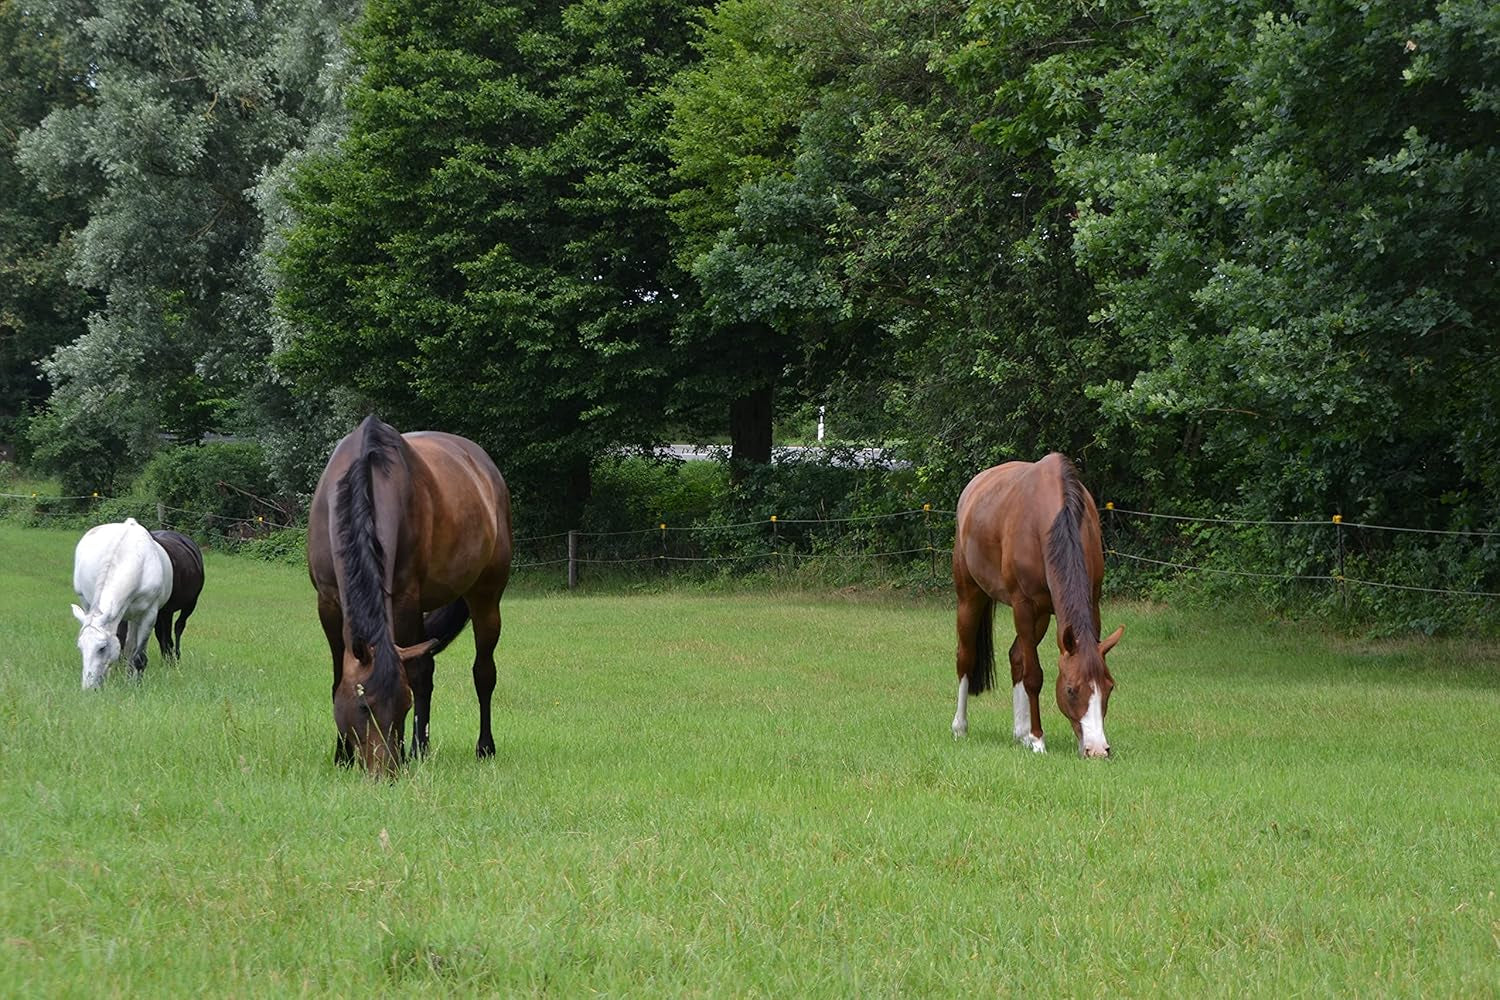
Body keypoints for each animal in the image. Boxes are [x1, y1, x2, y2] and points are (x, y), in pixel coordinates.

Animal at [71, 518, 175, 689]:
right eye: (80, 647)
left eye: (102, 648)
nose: (89, 688)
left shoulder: (149, 615)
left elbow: (138, 656)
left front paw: (134, 685)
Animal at [307, 415, 513, 775]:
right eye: (363, 706)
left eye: (404, 707)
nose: (385, 772)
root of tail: (485, 467)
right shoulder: (329, 603)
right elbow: (336, 677)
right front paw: (342, 755)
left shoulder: (404, 597)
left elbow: (416, 676)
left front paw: (407, 751)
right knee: (428, 668)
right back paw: (424, 748)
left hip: (484, 597)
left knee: (483, 672)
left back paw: (482, 747)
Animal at [950, 453, 1124, 757]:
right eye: (1070, 690)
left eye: (1109, 687)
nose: (1097, 749)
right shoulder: (1023, 606)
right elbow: (1033, 675)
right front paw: (1038, 739)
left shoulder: (1091, 603)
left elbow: (1025, 663)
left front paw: (1032, 736)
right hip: (970, 597)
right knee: (966, 657)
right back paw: (961, 728)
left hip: (1042, 615)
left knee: (1016, 656)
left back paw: (1020, 733)